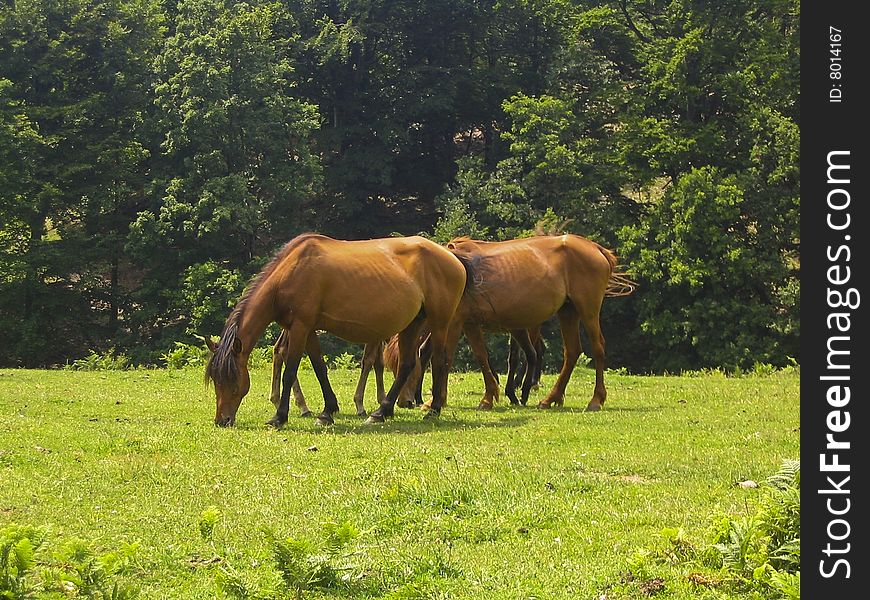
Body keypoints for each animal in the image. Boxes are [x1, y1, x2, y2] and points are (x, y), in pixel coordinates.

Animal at [204, 233, 470, 426]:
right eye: (215, 379)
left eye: (233, 380)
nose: (222, 420)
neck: (291, 272)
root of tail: (452, 256)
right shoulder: (307, 329)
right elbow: (320, 368)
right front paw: (327, 411)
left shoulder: (300, 327)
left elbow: (290, 371)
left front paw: (279, 417)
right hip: (412, 324)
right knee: (406, 366)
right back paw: (381, 412)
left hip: (439, 323)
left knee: (439, 361)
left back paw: (432, 410)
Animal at [446, 234, 636, 412]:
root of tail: (596, 248)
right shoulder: (466, 324)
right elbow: (477, 357)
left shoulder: (462, 323)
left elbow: (462, 358)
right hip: (568, 311)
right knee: (572, 351)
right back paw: (551, 398)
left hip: (588, 309)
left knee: (597, 348)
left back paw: (595, 399)